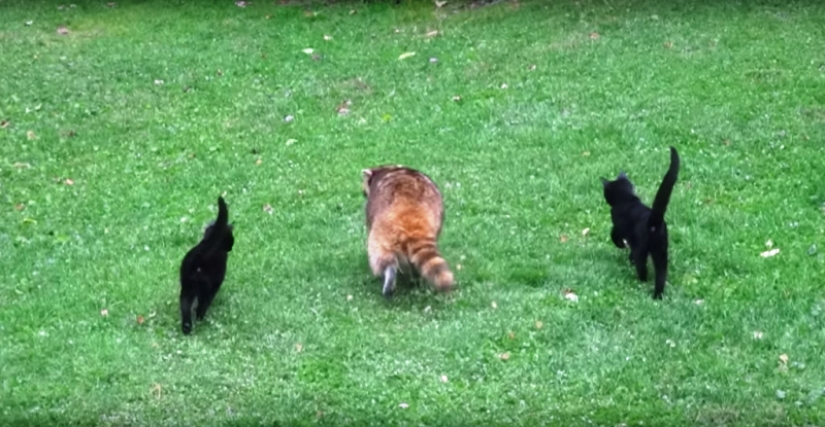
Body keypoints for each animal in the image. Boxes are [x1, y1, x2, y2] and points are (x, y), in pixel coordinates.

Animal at [361, 165, 455, 298]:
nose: (364, 194)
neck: (388, 168)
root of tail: (408, 211)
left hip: (381, 232)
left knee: (380, 256)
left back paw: (390, 275)